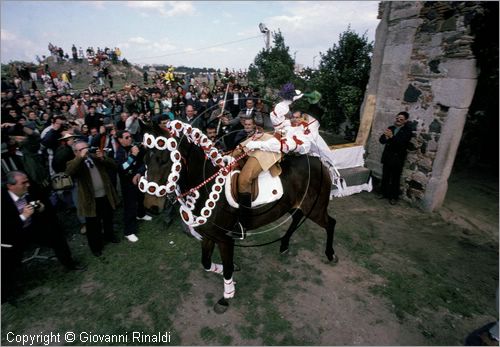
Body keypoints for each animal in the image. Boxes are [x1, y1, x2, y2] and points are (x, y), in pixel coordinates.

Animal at [139, 121, 338, 314]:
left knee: (330, 223)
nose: (151, 207)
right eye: (145, 159)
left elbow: (226, 267)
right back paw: (284, 245)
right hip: (292, 205)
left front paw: (226, 297)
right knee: (297, 218)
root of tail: (318, 161)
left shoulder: (225, 239)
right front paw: (231, 272)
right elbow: (206, 262)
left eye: (165, 160)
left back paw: (330, 254)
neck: (208, 187)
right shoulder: (209, 235)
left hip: (315, 208)